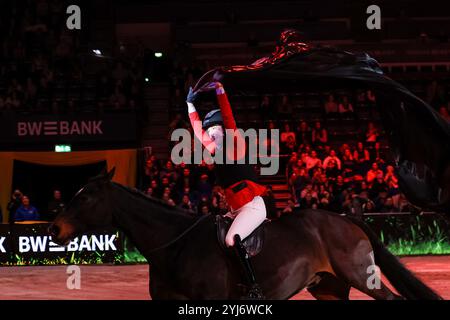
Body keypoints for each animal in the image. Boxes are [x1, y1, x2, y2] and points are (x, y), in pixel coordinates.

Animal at [49, 170, 440, 300]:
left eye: (85, 197)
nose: (54, 228)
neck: (175, 245)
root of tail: (347, 218)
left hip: (361, 277)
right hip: (329, 287)